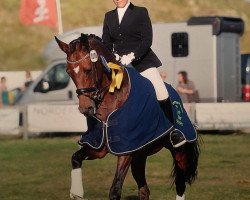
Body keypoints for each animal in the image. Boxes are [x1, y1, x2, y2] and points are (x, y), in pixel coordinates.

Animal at [55, 33, 199, 199]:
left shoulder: (126, 149)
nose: (86, 109)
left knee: (180, 184)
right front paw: (77, 192)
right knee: (144, 190)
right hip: (140, 155)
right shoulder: (99, 146)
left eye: (88, 69)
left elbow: (115, 190)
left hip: (179, 151)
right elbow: (76, 158)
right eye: (68, 72)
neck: (112, 95)